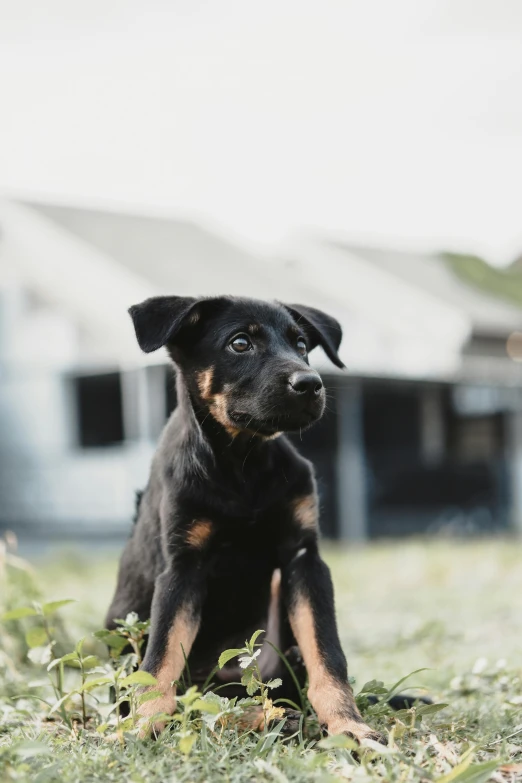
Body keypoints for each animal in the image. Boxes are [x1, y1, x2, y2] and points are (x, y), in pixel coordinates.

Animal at [105, 294, 380, 740]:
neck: (242, 465)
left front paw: (348, 724)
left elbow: (328, 654)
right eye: (239, 344)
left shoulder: (304, 560)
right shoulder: (182, 566)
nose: (311, 384)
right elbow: (160, 657)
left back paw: (280, 716)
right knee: (199, 698)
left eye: (301, 344)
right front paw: (143, 725)